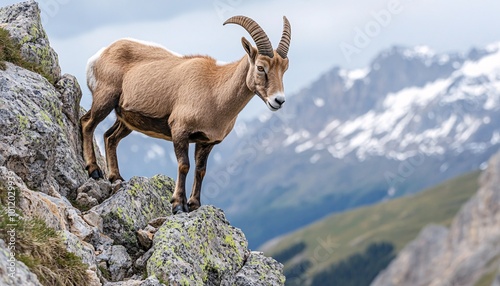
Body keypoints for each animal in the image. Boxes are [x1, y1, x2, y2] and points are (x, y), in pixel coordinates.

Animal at [81, 15, 292, 212]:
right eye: (260, 67)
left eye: (284, 69)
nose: (279, 100)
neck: (215, 92)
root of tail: (98, 56)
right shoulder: (180, 131)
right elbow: (184, 166)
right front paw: (178, 205)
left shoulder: (206, 142)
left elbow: (201, 170)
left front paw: (194, 204)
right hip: (105, 99)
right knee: (87, 123)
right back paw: (94, 170)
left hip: (126, 120)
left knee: (110, 137)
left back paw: (116, 177)